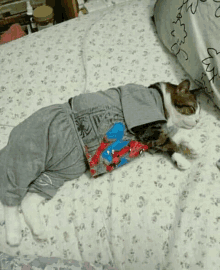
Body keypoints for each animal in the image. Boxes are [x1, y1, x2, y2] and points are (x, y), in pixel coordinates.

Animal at [2, 78, 200, 247]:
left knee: (29, 199)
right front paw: (182, 157)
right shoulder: (146, 126)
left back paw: (38, 230)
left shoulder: (149, 141)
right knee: (12, 193)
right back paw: (13, 235)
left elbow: (171, 138)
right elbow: (168, 142)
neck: (158, 98)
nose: (198, 120)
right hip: (31, 151)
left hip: (62, 170)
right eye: (191, 108)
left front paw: (189, 146)